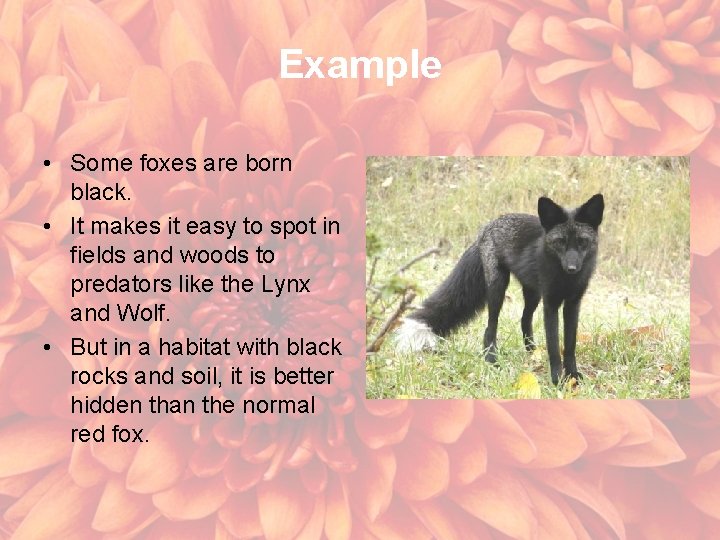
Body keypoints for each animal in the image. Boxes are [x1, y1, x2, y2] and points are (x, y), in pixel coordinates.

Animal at [396, 194, 604, 385]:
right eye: (560, 242)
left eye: (582, 242)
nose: (572, 268)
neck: (566, 280)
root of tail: (485, 229)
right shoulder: (551, 304)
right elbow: (554, 346)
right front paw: (557, 379)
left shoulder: (573, 304)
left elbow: (570, 345)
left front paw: (573, 376)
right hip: (498, 289)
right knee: (490, 327)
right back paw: (491, 360)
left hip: (533, 294)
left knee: (524, 319)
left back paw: (532, 353)